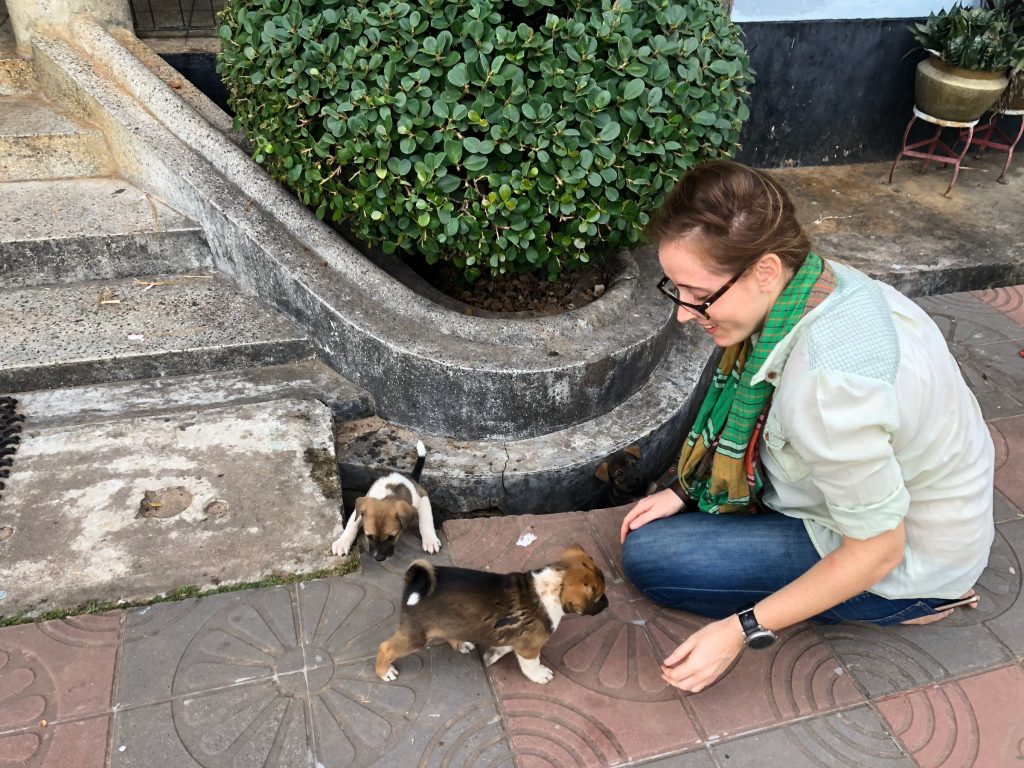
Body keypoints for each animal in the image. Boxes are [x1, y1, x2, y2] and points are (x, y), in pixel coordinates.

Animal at [376, 548, 606, 684]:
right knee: (386, 647)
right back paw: (384, 672)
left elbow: (504, 647)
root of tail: (413, 581)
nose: (607, 604)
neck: (550, 587)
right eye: (599, 596)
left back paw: (461, 644)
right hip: (416, 635)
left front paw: (493, 655)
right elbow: (531, 665)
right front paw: (540, 675)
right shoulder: (529, 648)